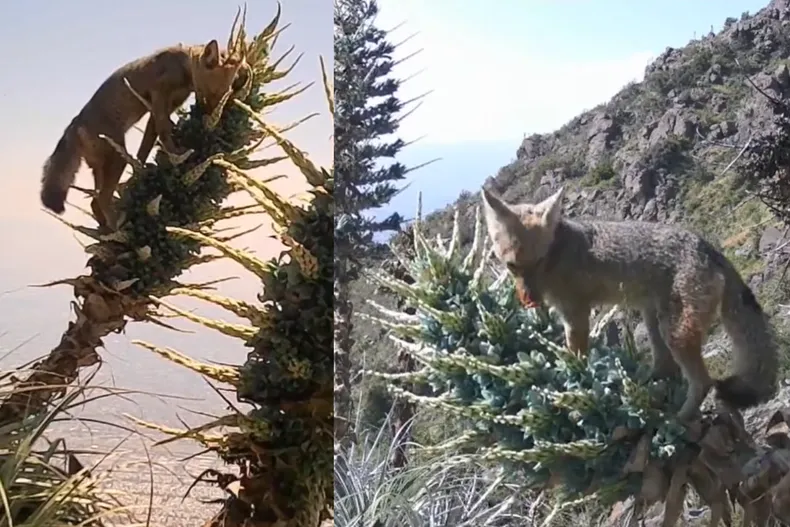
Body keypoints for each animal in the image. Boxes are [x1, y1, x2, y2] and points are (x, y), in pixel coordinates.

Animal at [40, 39, 246, 231]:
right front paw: (177, 154)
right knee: (101, 198)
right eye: (207, 93)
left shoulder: (160, 111)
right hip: (117, 159)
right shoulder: (159, 97)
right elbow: (164, 132)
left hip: (104, 166)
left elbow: (145, 149)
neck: (183, 63)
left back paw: (107, 230)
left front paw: (139, 175)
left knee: (95, 201)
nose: (213, 117)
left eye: (225, 94)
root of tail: (75, 124)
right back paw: (116, 226)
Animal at [480, 185, 779, 422]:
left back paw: (678, 418)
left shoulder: (576, 314)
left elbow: (576, 357)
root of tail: (710, 249)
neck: (560, 251)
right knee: (666, 369)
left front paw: (575, 385)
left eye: (540, 261)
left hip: (675, 334)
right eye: (512, 266)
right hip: (654, 321)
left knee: (702, 382)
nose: (529, 299)